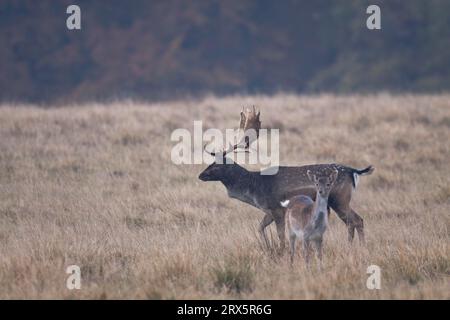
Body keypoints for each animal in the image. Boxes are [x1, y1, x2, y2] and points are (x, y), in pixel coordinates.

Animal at [199, 109, 374, 251]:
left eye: (217, 165)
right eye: (211, 162)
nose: (200, 175)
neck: (255, 188)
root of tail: (354, 171)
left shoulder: (277, 208)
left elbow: (280, 234)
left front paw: (281, 251)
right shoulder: (268, 210)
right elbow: (260, 228)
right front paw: (267, 247)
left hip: (339, 199)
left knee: (356, 220)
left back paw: (359, 247)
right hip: (339, 201)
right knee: (354, 221)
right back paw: (353, 247)